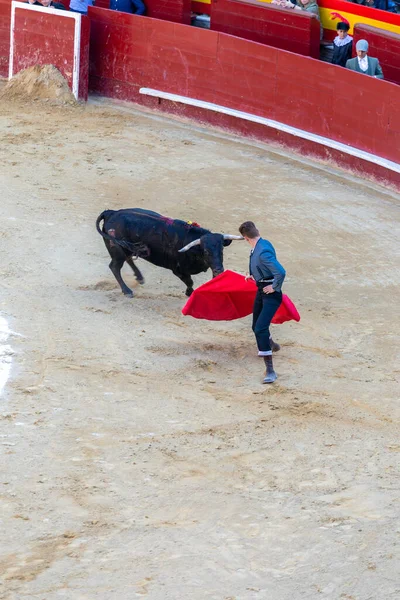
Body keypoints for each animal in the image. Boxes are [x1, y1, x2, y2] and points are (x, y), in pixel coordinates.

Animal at [96, 209, 244, 298]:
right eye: (206, 251)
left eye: (221, 250)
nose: (220, 269)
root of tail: (111, 213)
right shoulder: (178, 270)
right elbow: (190, 281)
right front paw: (189, 293)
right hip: (117, 251)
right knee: (115, 267)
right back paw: (127, 291)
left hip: (124, 248)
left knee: (127, 258)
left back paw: (139, 277)